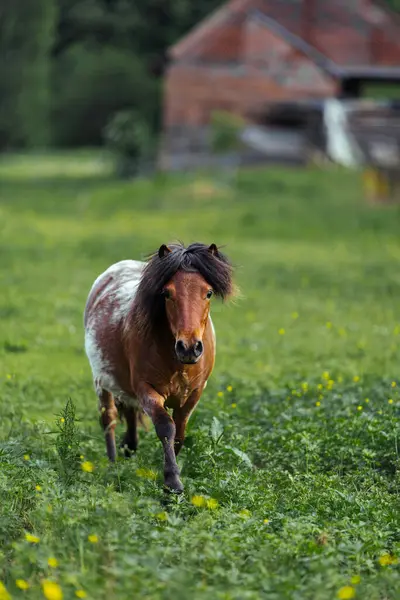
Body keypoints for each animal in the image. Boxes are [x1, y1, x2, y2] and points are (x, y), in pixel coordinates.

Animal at [84, 243, 234, 492]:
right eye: (167, 293)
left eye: (209, 292)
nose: (189, 347)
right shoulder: (147, 389)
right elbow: (166, 427)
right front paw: (172, 483)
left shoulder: (194, 394)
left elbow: (180, 432)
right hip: (101, 381)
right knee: (109, 419)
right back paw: (114, 463)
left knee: (129, 414)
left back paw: (129, 449)